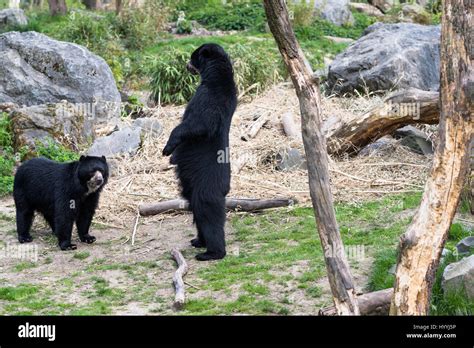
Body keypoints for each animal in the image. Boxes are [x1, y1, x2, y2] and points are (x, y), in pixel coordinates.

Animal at [163, 42, 237, 260]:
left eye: (193, 57)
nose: (187, 65)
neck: (216, 75)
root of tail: (224, 189)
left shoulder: (210, 97)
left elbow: (198, 123)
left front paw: (167, 149)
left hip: (205, 187)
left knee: (208, 214)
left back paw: (211, 252)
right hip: (190, 185)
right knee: (195, 210)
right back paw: (198, 241)